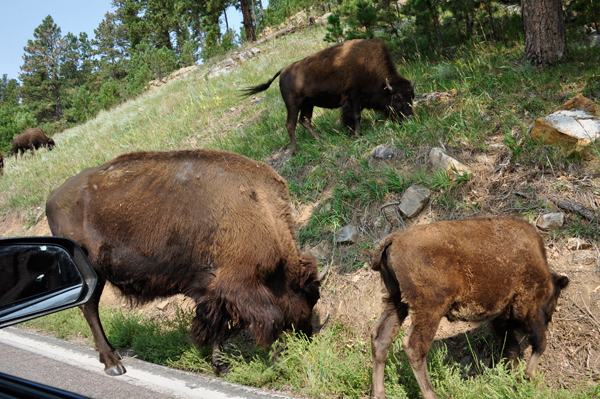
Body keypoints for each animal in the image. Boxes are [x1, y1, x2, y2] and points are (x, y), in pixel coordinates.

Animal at [45, 148, 324, 376]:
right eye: (310, 296)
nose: (309, 335)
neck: (261, 210)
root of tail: (52, 197)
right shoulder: (238, 285)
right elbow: (271, 318)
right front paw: (280, 363)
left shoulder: (213, 290)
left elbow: (217, 326)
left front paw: (221, 366)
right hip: (91, 273)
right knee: (90, 309)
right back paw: (113, 364)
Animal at [241, 38, 414, 153]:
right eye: (397, 97)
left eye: (412, 96)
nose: (410, 117)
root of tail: (283, 70)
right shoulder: (353, 97)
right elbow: (356, 116)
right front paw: (358, 135)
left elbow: (351, 117)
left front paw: (351, 133)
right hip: (293, 104)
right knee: (290, 124)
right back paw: (295, 150)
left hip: (308, 104)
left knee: (304, 120)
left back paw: (321, 140)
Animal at [370, 217, 572, 399]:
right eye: (555, 297)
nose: (549, 319)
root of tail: (394, 239)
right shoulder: (528, 308)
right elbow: (539, 342)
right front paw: (527, 376)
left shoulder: (501, 318)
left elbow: (511, 348)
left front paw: (513, 380)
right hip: (429, 309)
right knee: (415, 347)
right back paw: (431, 394)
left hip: (396, 301)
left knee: (381, 339)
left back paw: (379, 394)